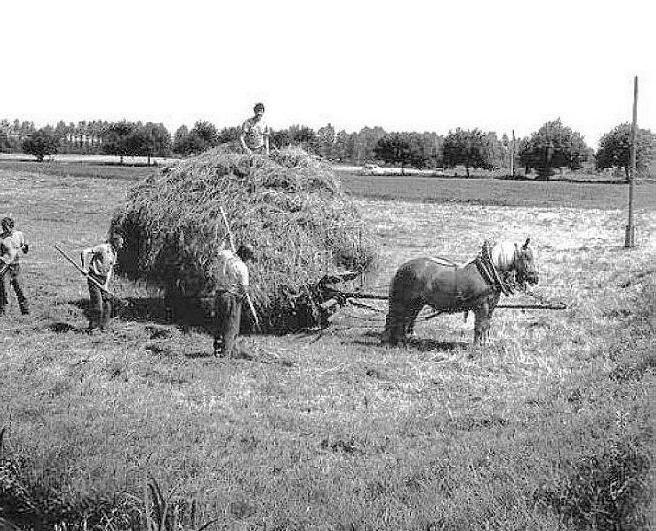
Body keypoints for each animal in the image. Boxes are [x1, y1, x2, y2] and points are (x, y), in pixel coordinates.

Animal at [384, 239, 540, 348]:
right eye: (526, 256)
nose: (535, 278)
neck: (488, 272)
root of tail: (402, 268)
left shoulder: (490, 307)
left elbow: (487, 325)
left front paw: (487, 343)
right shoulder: (481, 306)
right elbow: (479, 326)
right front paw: (477, 346)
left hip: (416, 303)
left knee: (406, 319)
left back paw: (403, 339)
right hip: (405, 301)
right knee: (397, 318)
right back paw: (396, 341)